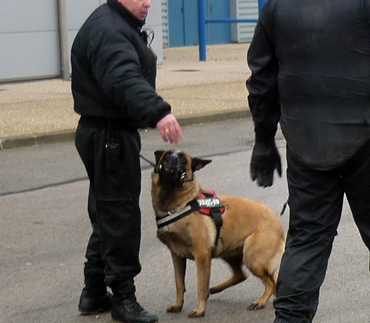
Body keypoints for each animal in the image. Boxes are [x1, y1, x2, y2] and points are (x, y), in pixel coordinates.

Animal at [152, 151, 284, 318]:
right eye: (167, 155)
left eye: (183, 159)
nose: (174, 159)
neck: (177, 205)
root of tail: (278, 222)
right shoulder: (177, 255)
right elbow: (179, 283)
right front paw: (178, 304)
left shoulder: (202, 254)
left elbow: (201, 285)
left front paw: (200, 310)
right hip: (227, 252)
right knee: (242, 275)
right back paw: (216, 288)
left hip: (252, 258)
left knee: (270, 283)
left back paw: (260, 302)